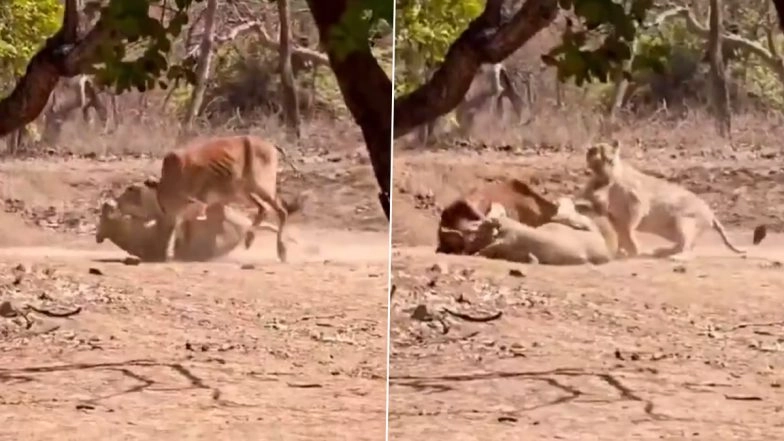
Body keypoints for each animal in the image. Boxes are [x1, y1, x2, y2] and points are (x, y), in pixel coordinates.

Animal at [582, 140, 745, 260]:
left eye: (610, 161)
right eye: (595, 163)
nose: (605, 177)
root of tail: (711, 213)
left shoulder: (638, 203)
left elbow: (628, 230)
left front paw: (633, 250)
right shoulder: (614, 216)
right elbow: (621, 234)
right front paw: (621, 251)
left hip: (684, 222)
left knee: (687, 248)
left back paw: (674, 257)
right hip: (675, 230)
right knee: (685, 245)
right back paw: (662, 252)